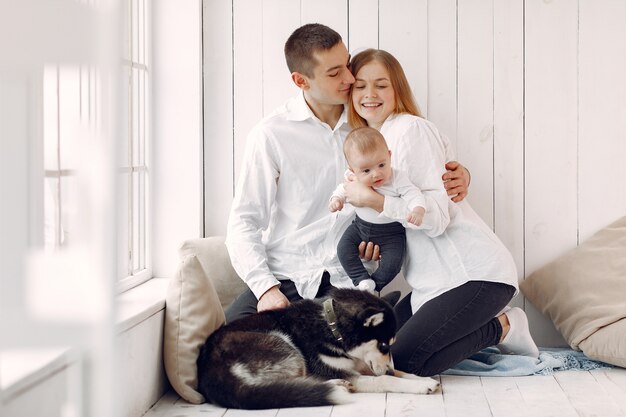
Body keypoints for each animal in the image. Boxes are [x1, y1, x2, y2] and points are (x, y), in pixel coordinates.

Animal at [196, 288, 438, 408]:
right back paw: (334, 386)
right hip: (285, 346)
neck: (331, 327)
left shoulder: (359, 363)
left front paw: (422, 379)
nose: (388, 368)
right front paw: (417, 386)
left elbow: (399, 373)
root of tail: (210, 372)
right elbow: (385, 380)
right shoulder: (341, 369)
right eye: (384, 344)